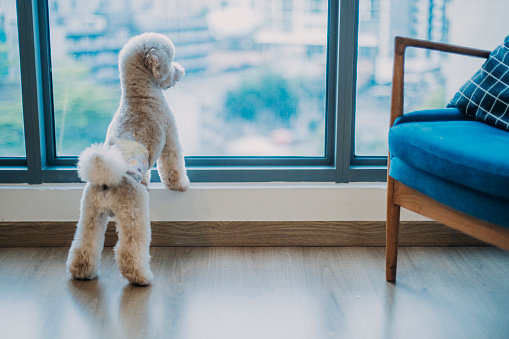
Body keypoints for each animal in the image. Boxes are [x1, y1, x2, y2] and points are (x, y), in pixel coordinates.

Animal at [65, 32, 189, 286]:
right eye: (171, 60)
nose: (181, 71)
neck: (140, 94)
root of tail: (106, 179)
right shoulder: (170, 134)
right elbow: (173, 164)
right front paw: (180, 185)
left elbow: (149, 170)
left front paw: (147, 180)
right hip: (134, 213)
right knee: (129, 250)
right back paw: (141, 277)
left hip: (90, 213)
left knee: (83, 244)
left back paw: (82, 272)